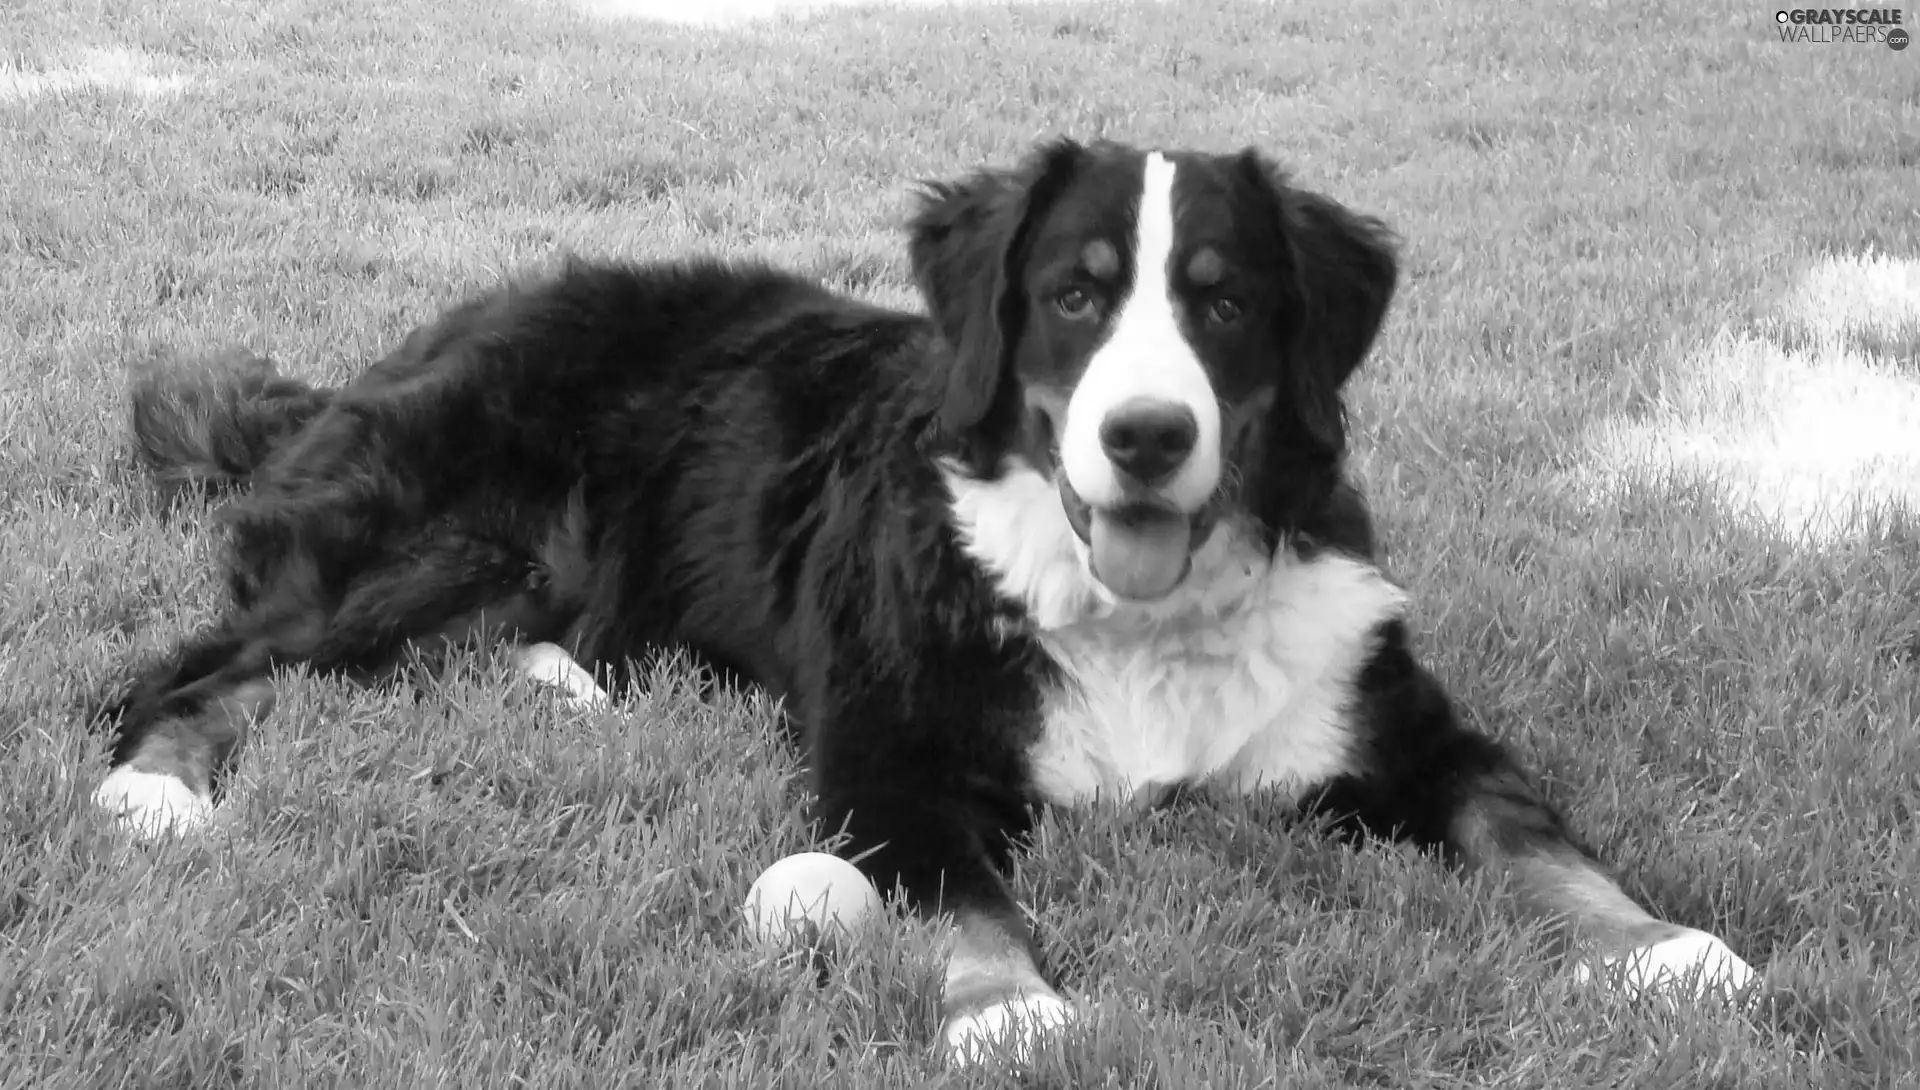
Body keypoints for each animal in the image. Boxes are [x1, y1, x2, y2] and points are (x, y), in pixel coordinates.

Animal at [97, 136, 1758, 1066]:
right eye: (1077, 292)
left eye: (1224, 300)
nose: (1145, 435)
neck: (1128, 617)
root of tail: (398, 347)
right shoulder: (889, 749)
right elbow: (959, 888)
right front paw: (1007, 1010)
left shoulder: (1391, 721)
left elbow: (1526, 827)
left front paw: (1662, 946)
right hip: (436, 534)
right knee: (208, 659)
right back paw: (156, 787)